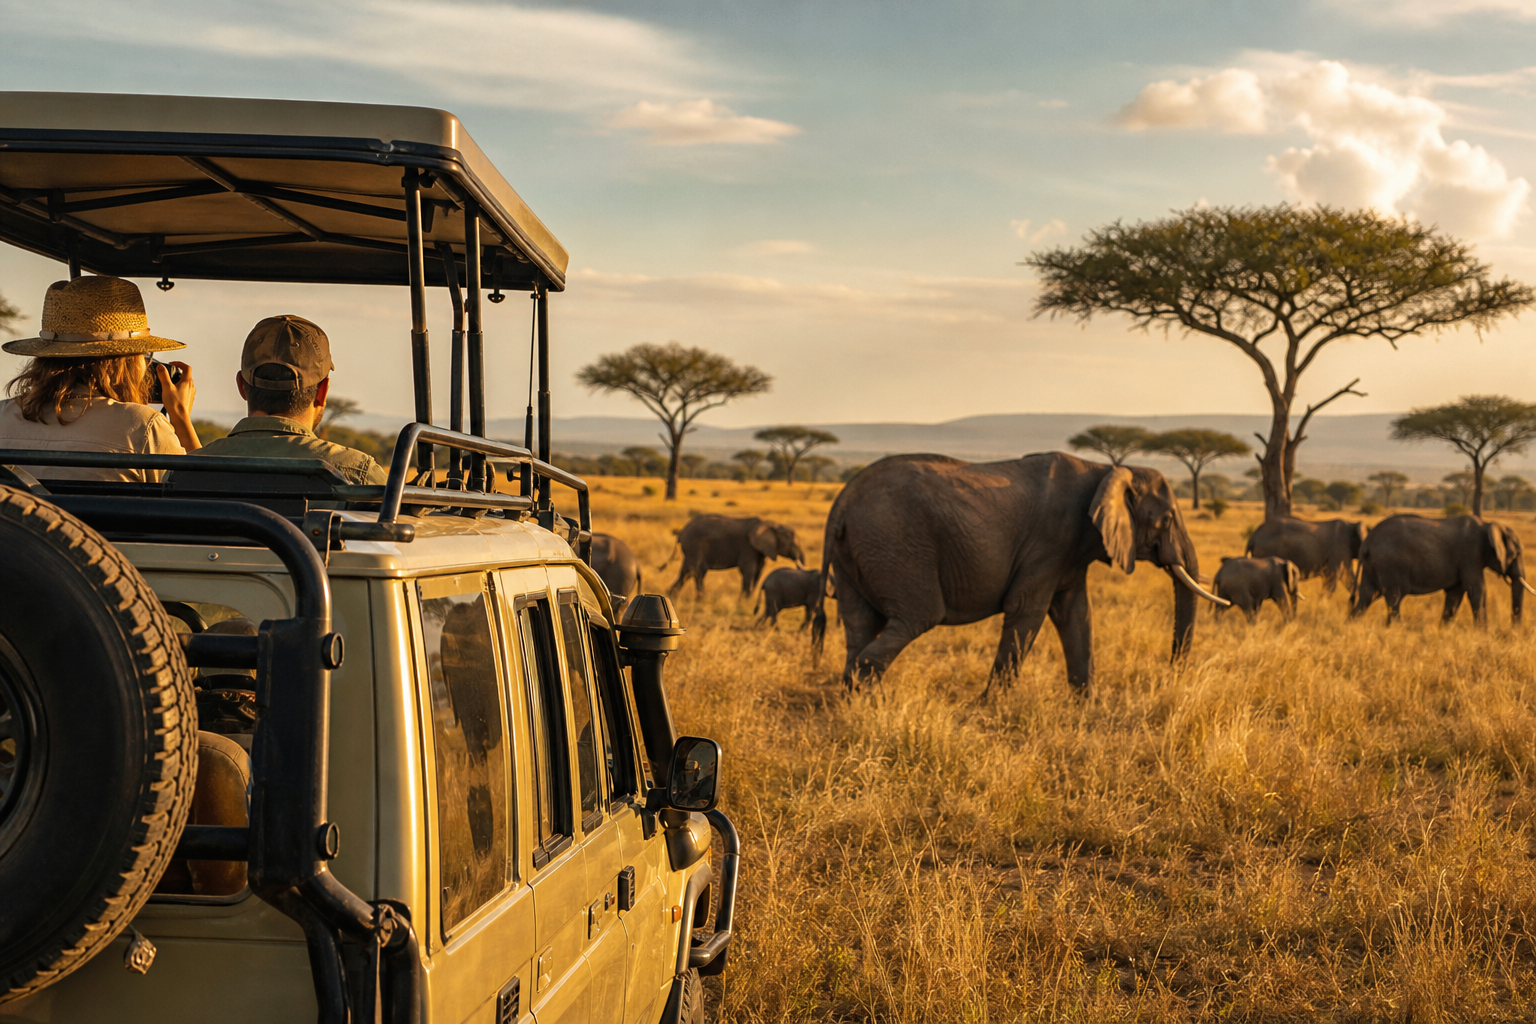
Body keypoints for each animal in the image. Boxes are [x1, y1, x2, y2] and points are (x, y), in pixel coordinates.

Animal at [664, 514, 805, 597]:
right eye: (792, 543)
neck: (771, 524)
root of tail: (681, 532)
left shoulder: (760, 550)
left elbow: (758, 571)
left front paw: (747, 599)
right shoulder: (748, 547)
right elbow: (749, 570)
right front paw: (744, 600)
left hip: (690, 551)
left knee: (686, 572)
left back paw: (670, 596)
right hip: (695, 546)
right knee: (697, 572)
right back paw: (701, 599)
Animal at [809, 452, 1227, 694]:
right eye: (1167, 519)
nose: (1173, 674)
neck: (1108, 470)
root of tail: (842, 499)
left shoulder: (1069, 550)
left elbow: (1077, 614)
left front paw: (1085, 707)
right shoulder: (1051, 539)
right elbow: (1029, 611)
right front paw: (990, 709)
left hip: (858, 552)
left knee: (860, 622)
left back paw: (856, 702)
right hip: (896, 543)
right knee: (917, 616)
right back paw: (866, 695)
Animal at [1351, 514, 1535, 625]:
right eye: (1516, 553)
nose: (1514, 630)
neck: (1488, 525)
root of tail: (1366, 543)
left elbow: (1455, 594)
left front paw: (1443, 630)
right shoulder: (1470, 555)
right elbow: (1477, 590)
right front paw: (1484, 634)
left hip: (1372, 566)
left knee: (1368, 595)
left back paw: (1352, 625)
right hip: (1391, 565)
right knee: (1394, 597)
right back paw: (1397, 629)